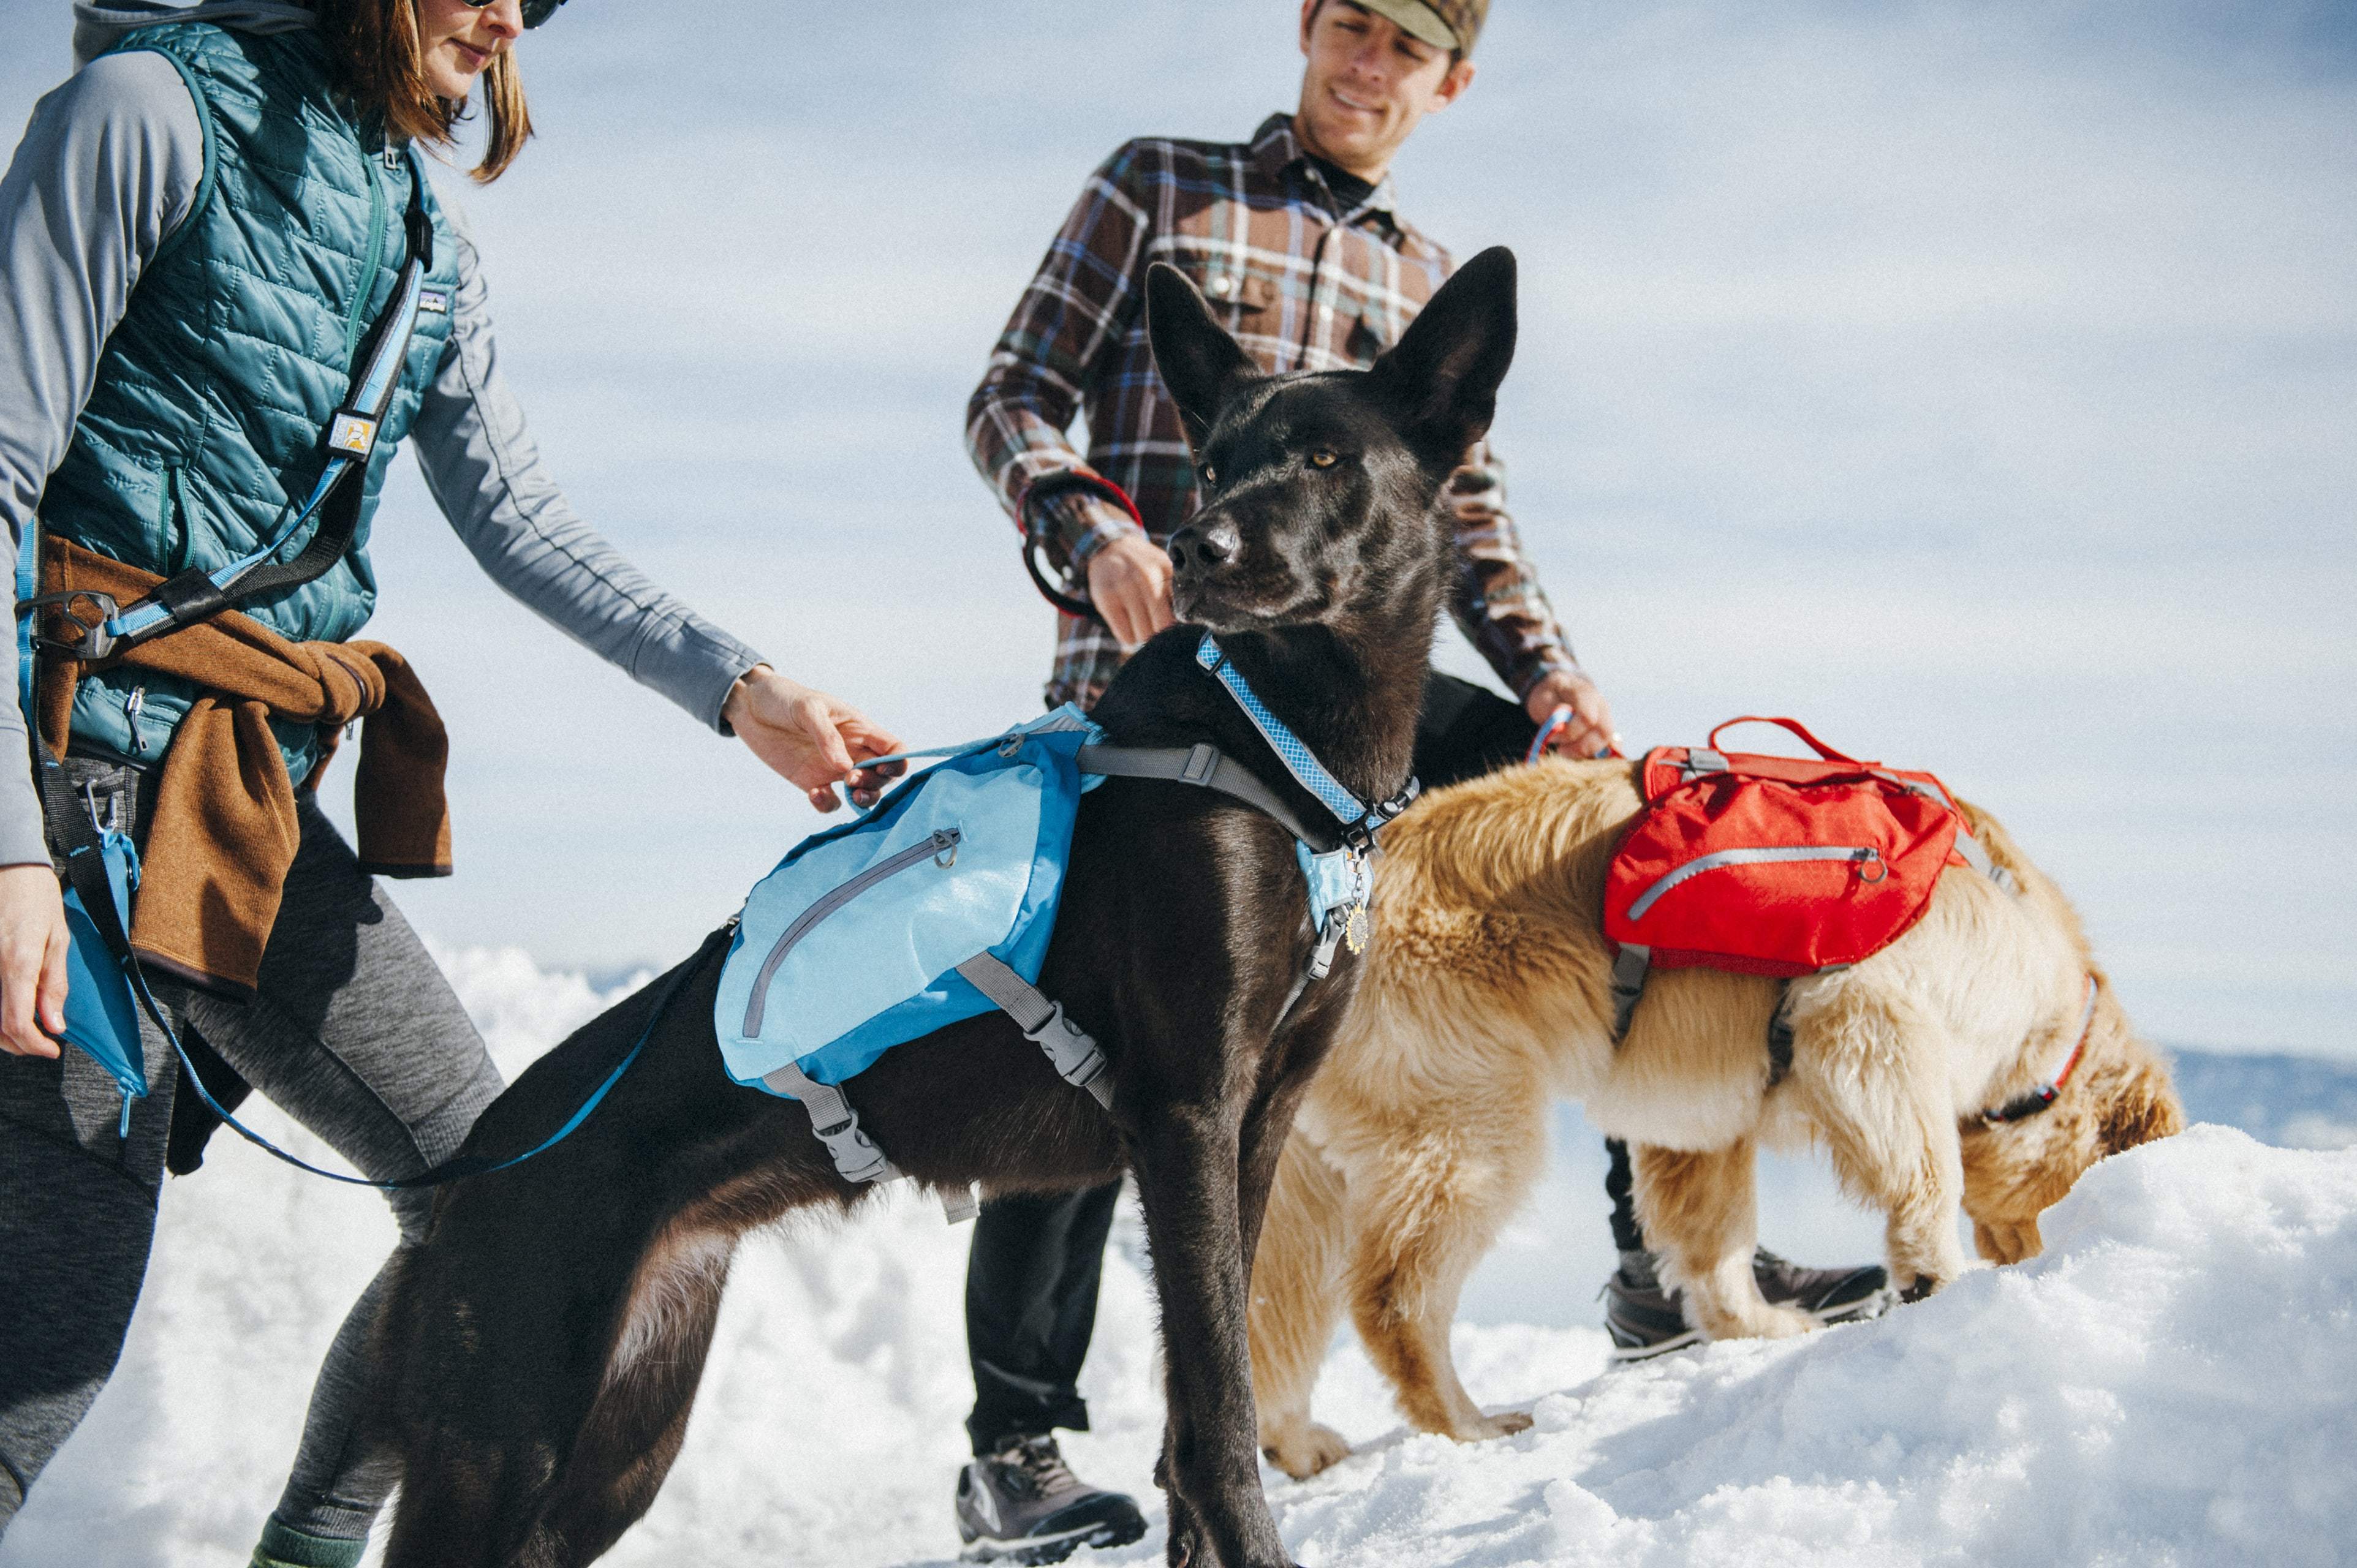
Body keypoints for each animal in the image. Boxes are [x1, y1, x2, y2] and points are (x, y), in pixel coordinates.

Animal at [368, 245, 1508, 1566]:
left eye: (1325, 457)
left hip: (619, 1444)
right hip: (502, 1445)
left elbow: (1190, 1412)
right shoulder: (1185, 1117)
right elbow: (1217, 1415)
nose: (1194, 545)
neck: (1266, 741)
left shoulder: (1256, 1125)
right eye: (1215, 461)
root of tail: (463, 1172)